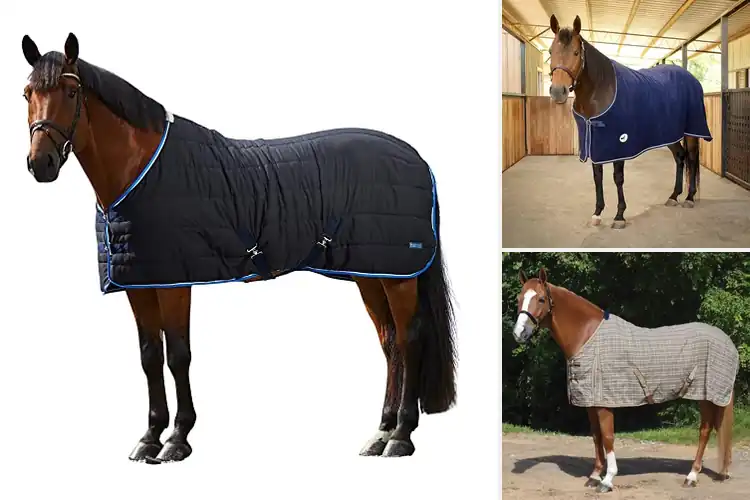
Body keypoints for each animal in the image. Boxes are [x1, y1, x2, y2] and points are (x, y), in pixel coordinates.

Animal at [20, 33, 457, 463]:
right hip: (371, 272)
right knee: (389, 342)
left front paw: (178, 439)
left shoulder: (176, 282)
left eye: (72, 91)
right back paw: (380, 433)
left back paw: (400, 435)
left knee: (409, 340)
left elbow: (178, 355)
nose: (40, 163)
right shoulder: (139, 282)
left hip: (397, 275)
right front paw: (149, 438)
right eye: (27, 93)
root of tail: (418, 160)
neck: (140, 168)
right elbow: (150, 357)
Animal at [511, 268, 738, 493]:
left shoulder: (605, 402)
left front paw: (607, 480)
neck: (589, 337)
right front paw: (595, 475)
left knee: (704, 431)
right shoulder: (591, 401)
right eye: (519, 299)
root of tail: (727, 341)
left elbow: (608, 437)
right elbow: (596, 436)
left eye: (541, 299)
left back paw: (692, 476)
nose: (519, 333)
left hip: (706, 395)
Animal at [547, 15, 713, 229]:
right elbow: (597, 176)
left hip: (691, 131)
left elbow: (618, 178)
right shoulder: (595, 142)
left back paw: (690, 198)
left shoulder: (620, 144)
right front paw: (597, 213)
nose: (557, 92)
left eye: (576, 52)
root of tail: (692, 79)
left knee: (691, 158)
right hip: (669, 133)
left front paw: (619, 216)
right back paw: (674, 196)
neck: (601, 90)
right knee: (680, 156)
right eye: (551, 51)